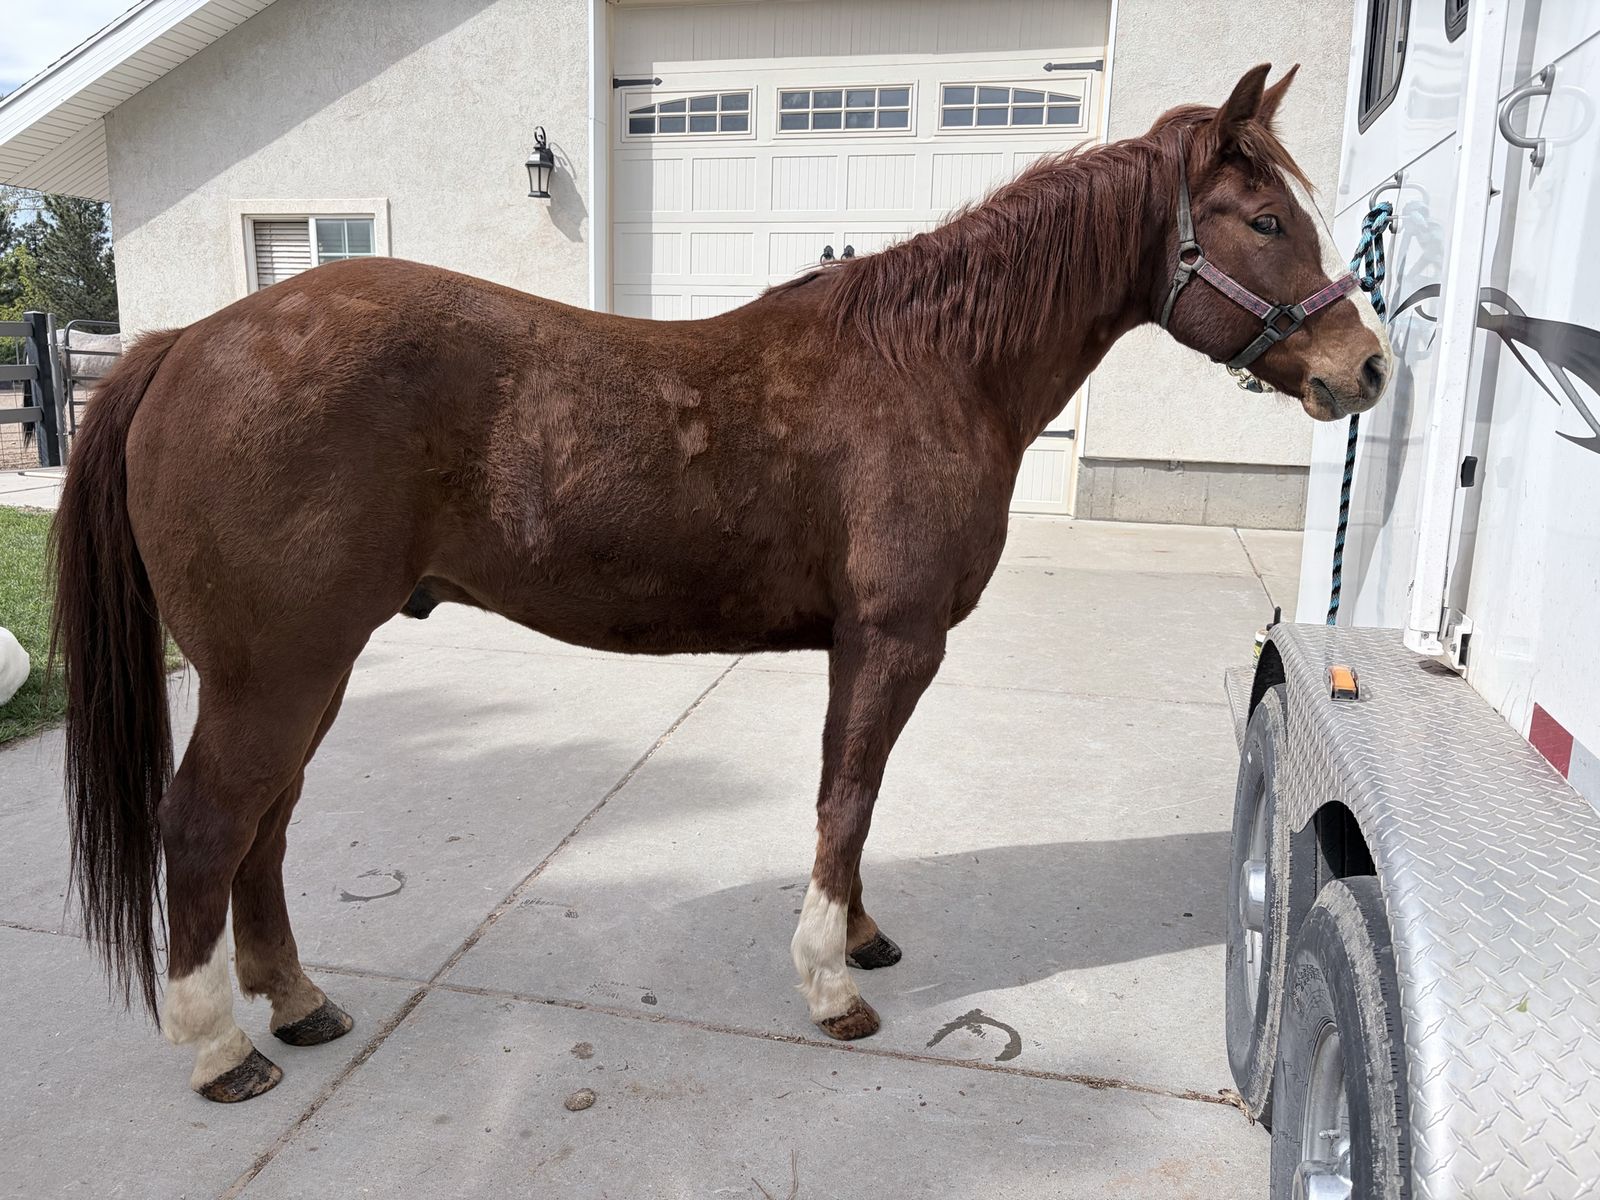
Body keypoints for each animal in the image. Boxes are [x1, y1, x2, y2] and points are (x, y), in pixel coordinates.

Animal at [50, 63, 1389, 1102]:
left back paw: (297, 1002)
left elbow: (855, 799)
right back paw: (221, 1048)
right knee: (207, 826)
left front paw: (859, 939)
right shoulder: (890, 638)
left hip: (308, 670)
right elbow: (846, 797)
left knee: (263, 831)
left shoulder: (868, 647)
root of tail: (186, 344)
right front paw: (830, 983)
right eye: (1263, 221)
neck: (933, 365)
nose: (1366, 367)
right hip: (272, 672)